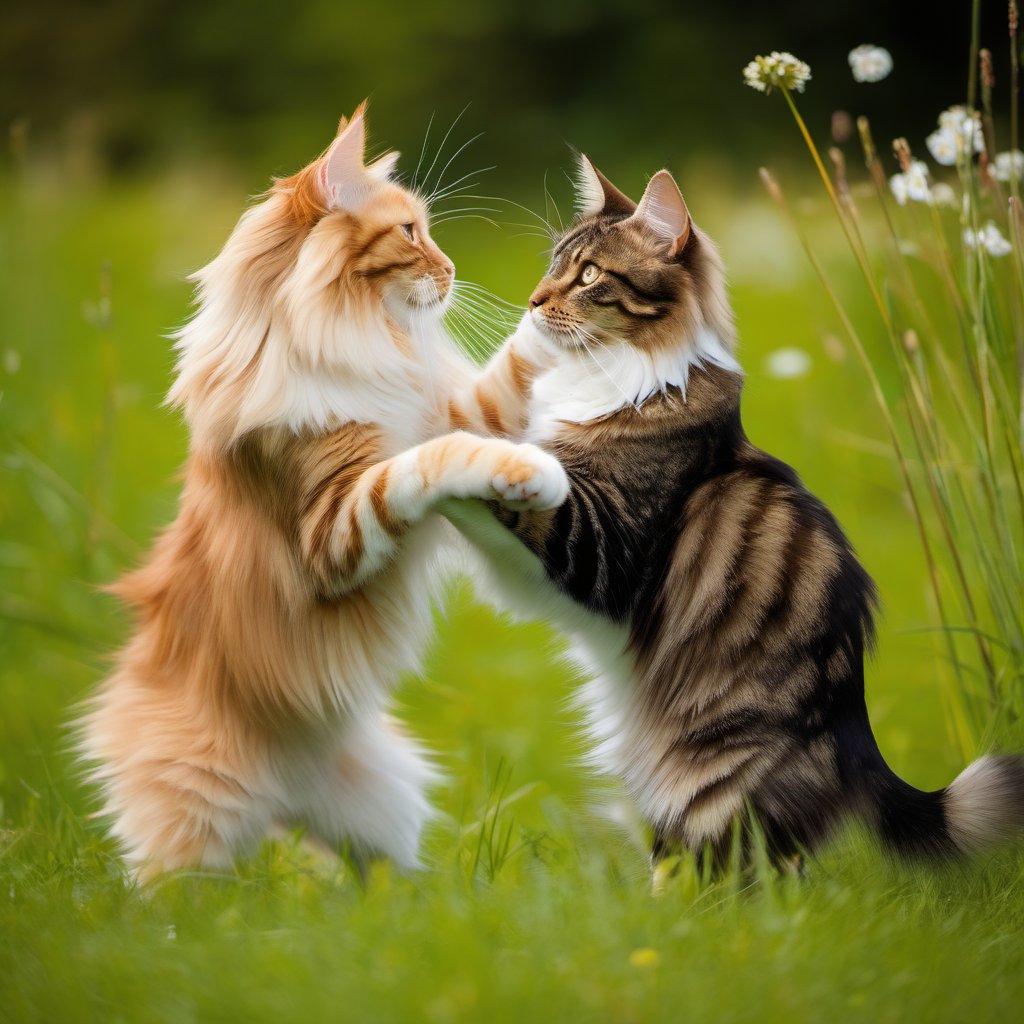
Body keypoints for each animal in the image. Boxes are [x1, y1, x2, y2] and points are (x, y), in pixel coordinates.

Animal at [81, 110, 569, 880]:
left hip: (382, 808)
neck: (361, 335)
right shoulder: (333, 527)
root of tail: (286, 793)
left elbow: (514, 365)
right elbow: (428, 464)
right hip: (196, 814)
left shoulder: (451, 409)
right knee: (173, 890)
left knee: (383, 885)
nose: (451, 270)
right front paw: (526, 471)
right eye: (410, 234)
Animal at [444, 155, 1024, 868]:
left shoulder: (600, 549)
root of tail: (855, 731)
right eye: (554, 265)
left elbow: (513, 486)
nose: (531, 301)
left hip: (712, 794)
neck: (612, 373)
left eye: (588, 276)